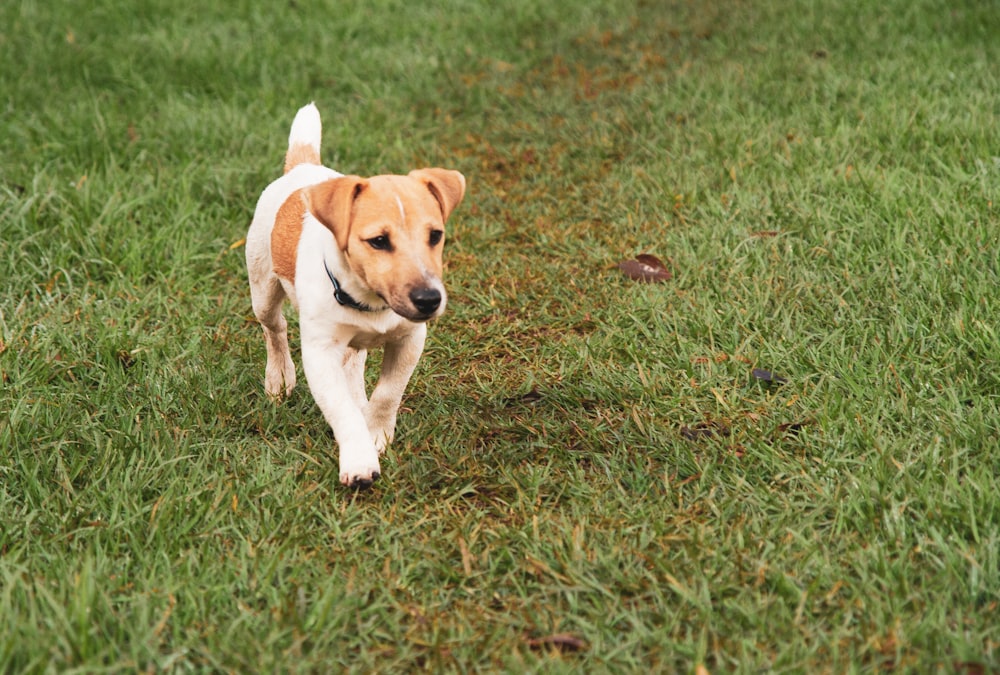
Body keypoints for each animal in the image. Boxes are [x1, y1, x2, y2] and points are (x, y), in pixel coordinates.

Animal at [250, 103, 468, 488]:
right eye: (378, 241)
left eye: (436, 236)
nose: (429, 300)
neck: (370, 301)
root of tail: (303, 167)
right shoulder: (320, 353)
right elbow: (342, 410)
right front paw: (359, 460)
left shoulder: (410, 339)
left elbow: (387, 394)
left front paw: (376, 433)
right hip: (262, 289)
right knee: (274, 330)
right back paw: (279, 378)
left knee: (353, 366)